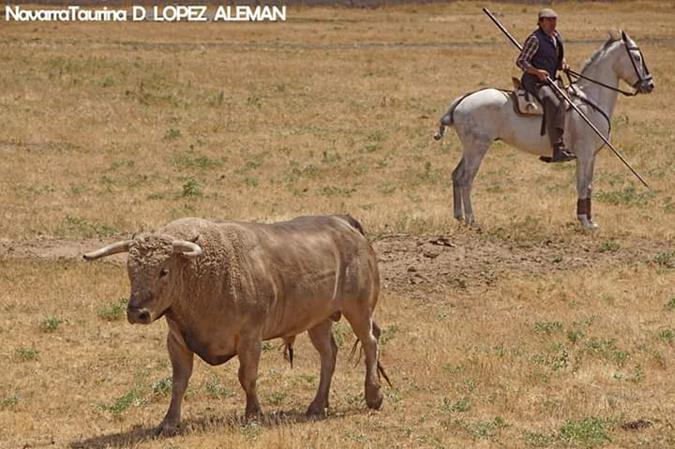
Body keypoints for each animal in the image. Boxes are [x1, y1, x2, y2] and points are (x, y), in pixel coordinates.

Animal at [436, 32, 652, 228]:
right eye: (636, 57)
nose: (650, 84)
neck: (589, 100)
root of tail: (462, 100)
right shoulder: (585, 154)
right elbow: (583, 185)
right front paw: (584, 221)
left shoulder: (591, 156)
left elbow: (589, 185)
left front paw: (590, 221)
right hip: (478, 147)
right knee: (466, 179)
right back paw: (471, 220)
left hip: (470, 148)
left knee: (457, 175)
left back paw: (459, 216)